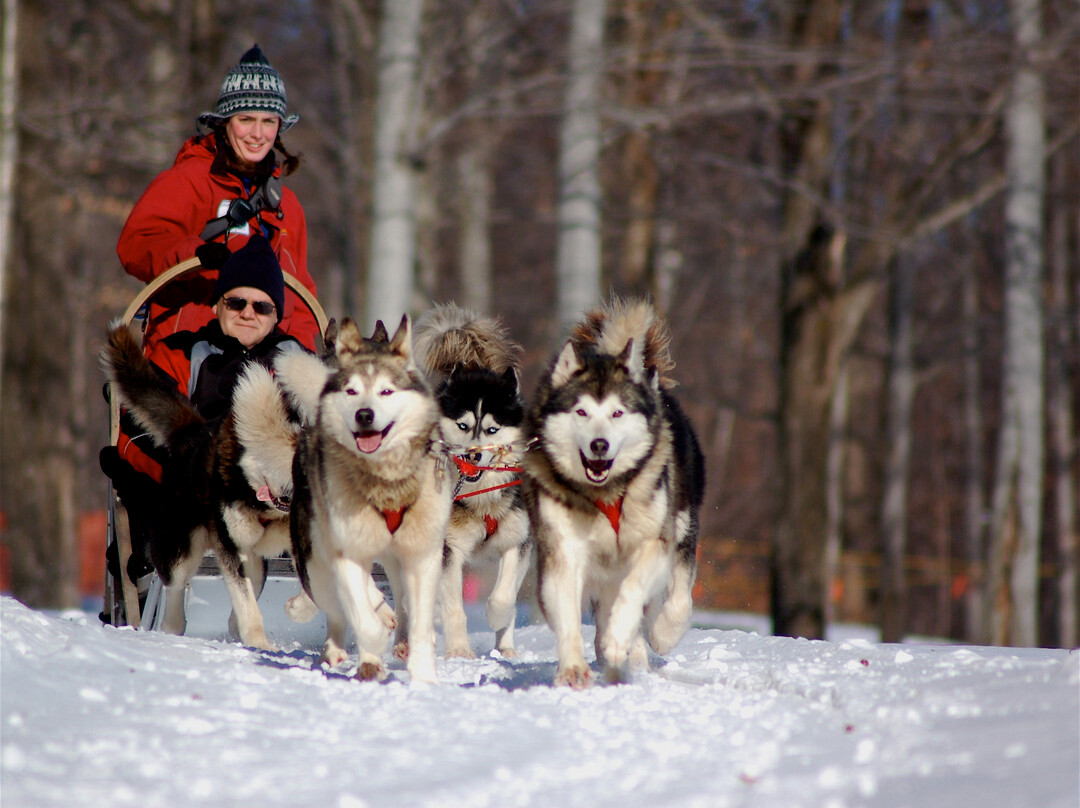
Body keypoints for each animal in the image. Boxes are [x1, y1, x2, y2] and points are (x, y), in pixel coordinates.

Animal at [99, 321, 298, 648]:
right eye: (271, 452)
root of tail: (191, 433)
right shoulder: (230, 549)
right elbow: (246, 603)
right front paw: (259, 644)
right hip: (180, 548)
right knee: (175, 588)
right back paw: (172, 626)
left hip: (253, 558)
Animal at [278, 315, 451, 682]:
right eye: (350, 390)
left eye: (386, 390)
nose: (364, 415)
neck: (385, 481)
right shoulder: (345, 550)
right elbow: (364, 613)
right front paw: (374, 644)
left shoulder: (421, 554)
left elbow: (417, 616)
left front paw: (424, 675)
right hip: (317, 560)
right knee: (338, 609)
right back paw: (344, 648)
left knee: (398, 596)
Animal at [412, 302, 531, 656]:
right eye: (463, 426)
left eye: (492, 429)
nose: (473, 456)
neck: (482, 495)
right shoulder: (448, 549)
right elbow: (452, 606)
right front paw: (459, 650)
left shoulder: (518, 541)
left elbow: (505, 596)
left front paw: (497, 618)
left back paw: (506, 648)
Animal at [520, 295, 704, 687]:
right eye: (581, 412)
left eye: (618, 413)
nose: (599, 445)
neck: (606, 494)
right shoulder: (563, 549)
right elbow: (567, 613)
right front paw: (573, 668)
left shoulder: (654, 544)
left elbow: (634, 590)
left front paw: (624, 637)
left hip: (682, 527)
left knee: (675, 594)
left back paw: (652, 636)